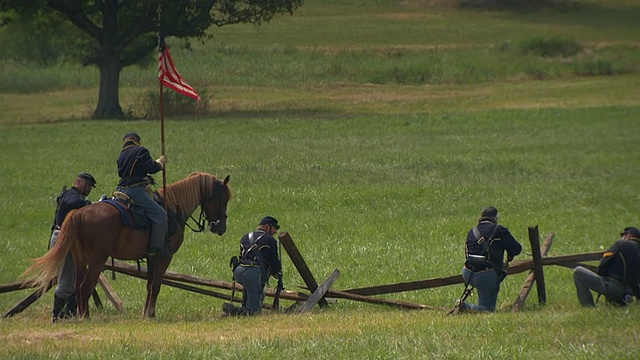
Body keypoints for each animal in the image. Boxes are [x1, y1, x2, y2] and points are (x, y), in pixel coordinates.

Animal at [23, 172, 232, 318]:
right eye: (223, 198)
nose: (220, 227)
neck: (173, 208)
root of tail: (79, 213)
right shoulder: (164, 256)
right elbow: (156, 285)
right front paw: (151, 314)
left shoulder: (152, 257)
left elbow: (149, 285)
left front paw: (146, 313)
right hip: (97, 260)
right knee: (84, 287)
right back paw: (85, 317)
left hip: (80, 260)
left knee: (76, 288)